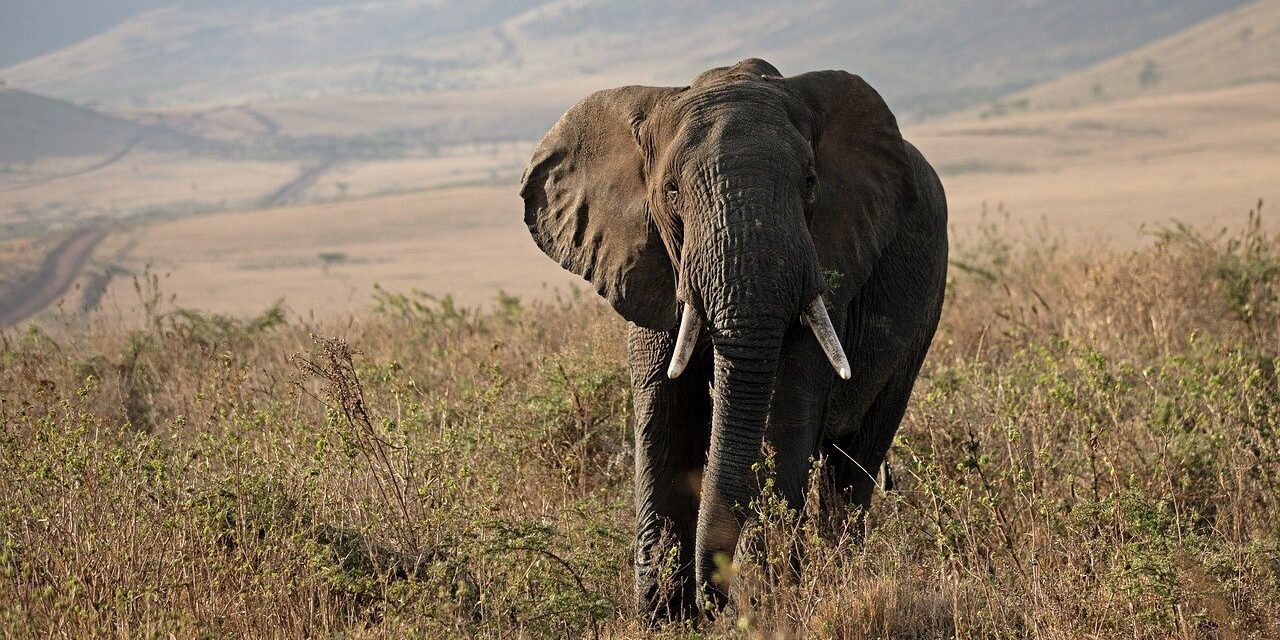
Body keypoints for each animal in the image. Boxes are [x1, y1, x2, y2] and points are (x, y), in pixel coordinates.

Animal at [520, 58, 948, 620]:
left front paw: (768, 603)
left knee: (854, 460)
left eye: (810, 182)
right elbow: (664, 415)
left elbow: (782, 415)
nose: (714, 597)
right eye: (672, 192)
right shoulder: (648, 264)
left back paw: (840, 577)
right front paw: (664, 618)